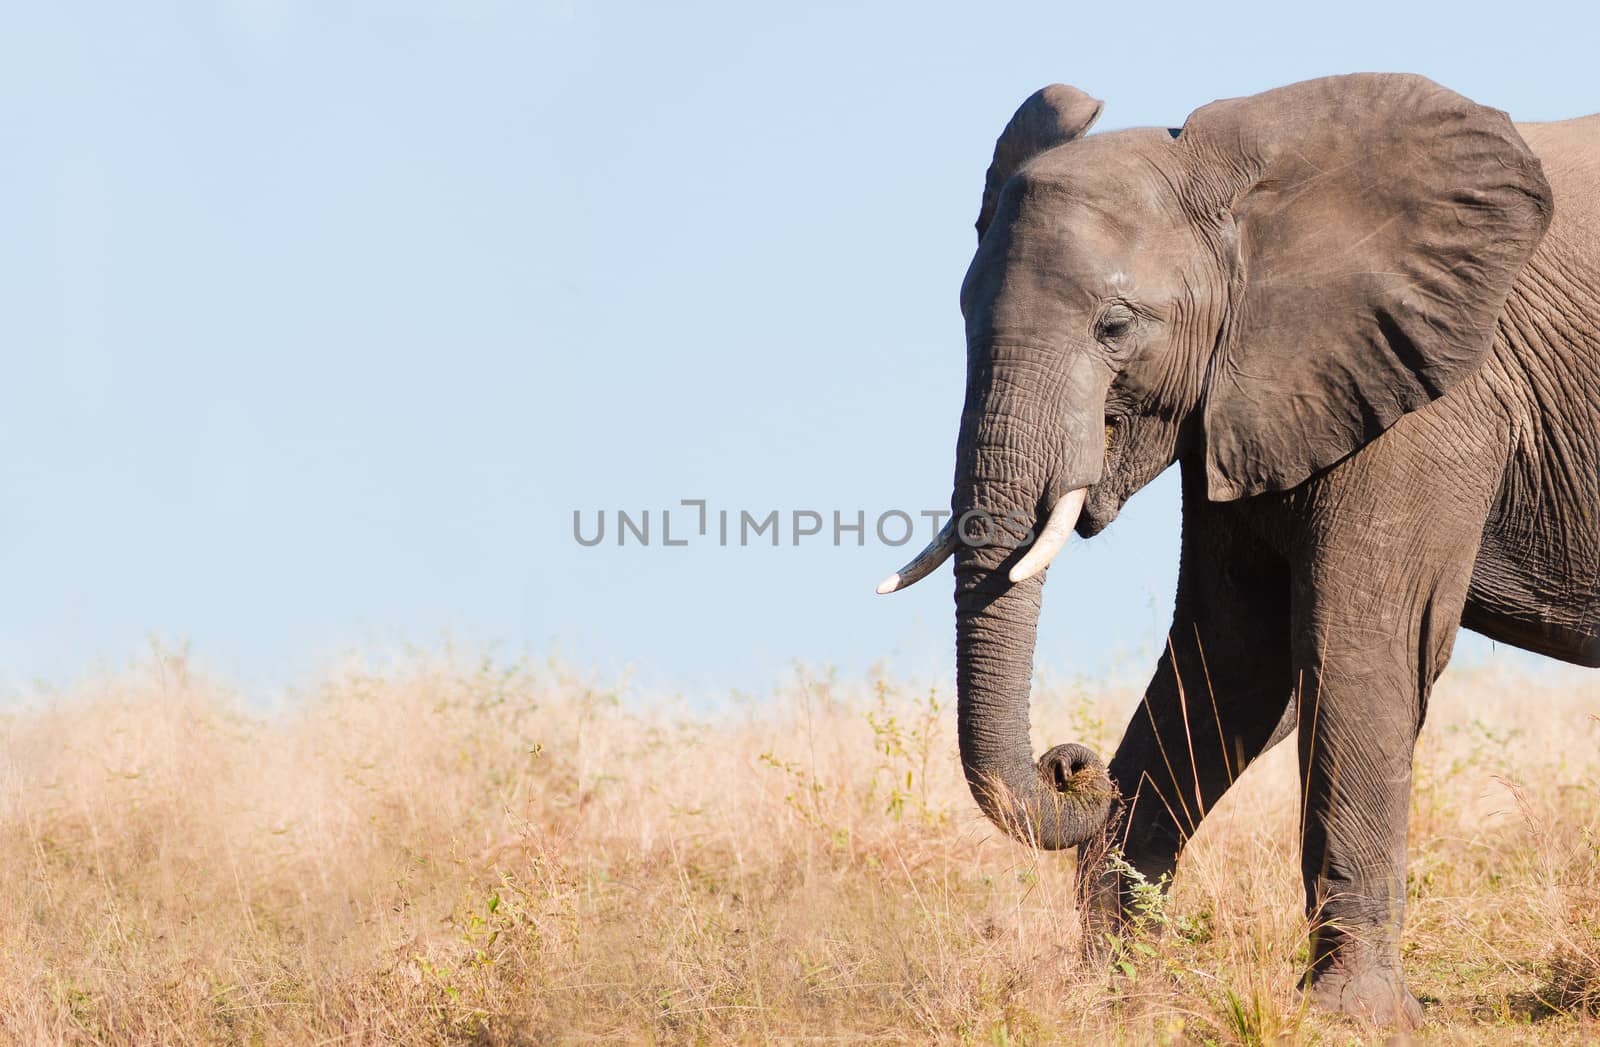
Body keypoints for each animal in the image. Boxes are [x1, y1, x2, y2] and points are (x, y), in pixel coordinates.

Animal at [883, 76, 1593, 1030]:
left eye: (1115, 325)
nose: (1070, 764)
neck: (1249, 189)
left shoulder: (1436, 392)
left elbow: (1357, 646)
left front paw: (1352, 1018)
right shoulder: (1250, 388)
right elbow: (1232, 659)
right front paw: (1119, 995)